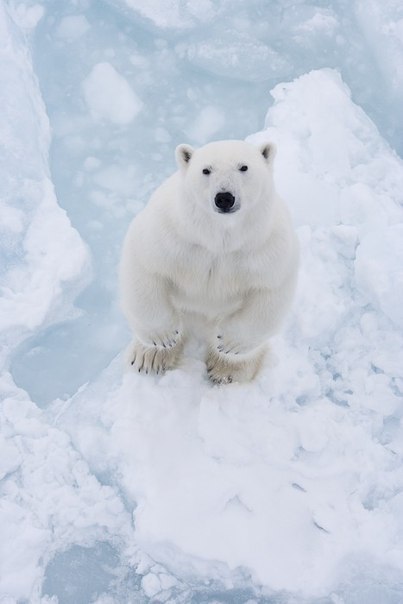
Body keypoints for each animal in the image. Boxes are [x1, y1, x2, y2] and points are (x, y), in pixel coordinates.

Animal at [118, 140, 298, 382]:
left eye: (243, 167)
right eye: (206, 170)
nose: (224, 197)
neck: (218, 241)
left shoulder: (264, 247)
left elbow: (271, 291)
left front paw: (230, 345)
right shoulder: (172, 234)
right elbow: (146, 267)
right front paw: (162, 338)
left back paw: (226, 370)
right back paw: (149, 357)